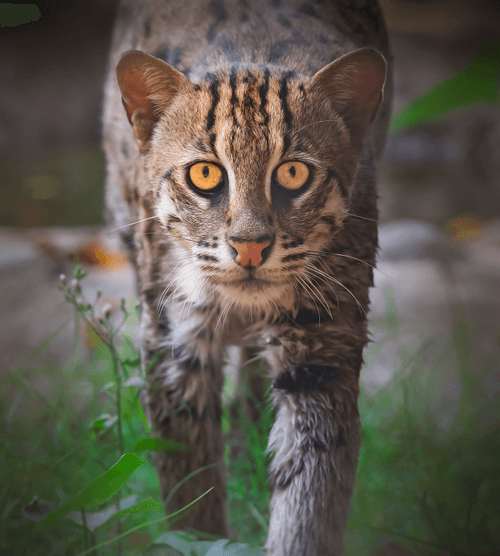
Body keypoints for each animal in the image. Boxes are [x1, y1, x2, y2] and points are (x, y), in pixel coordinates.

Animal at [101, 1, 390, 556]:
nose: (250, 247)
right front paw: (201, 537)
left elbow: (311, 494)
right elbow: (189, 486)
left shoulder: (323, 348)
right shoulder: (172, 340)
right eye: (205, 175)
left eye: (295, 174)